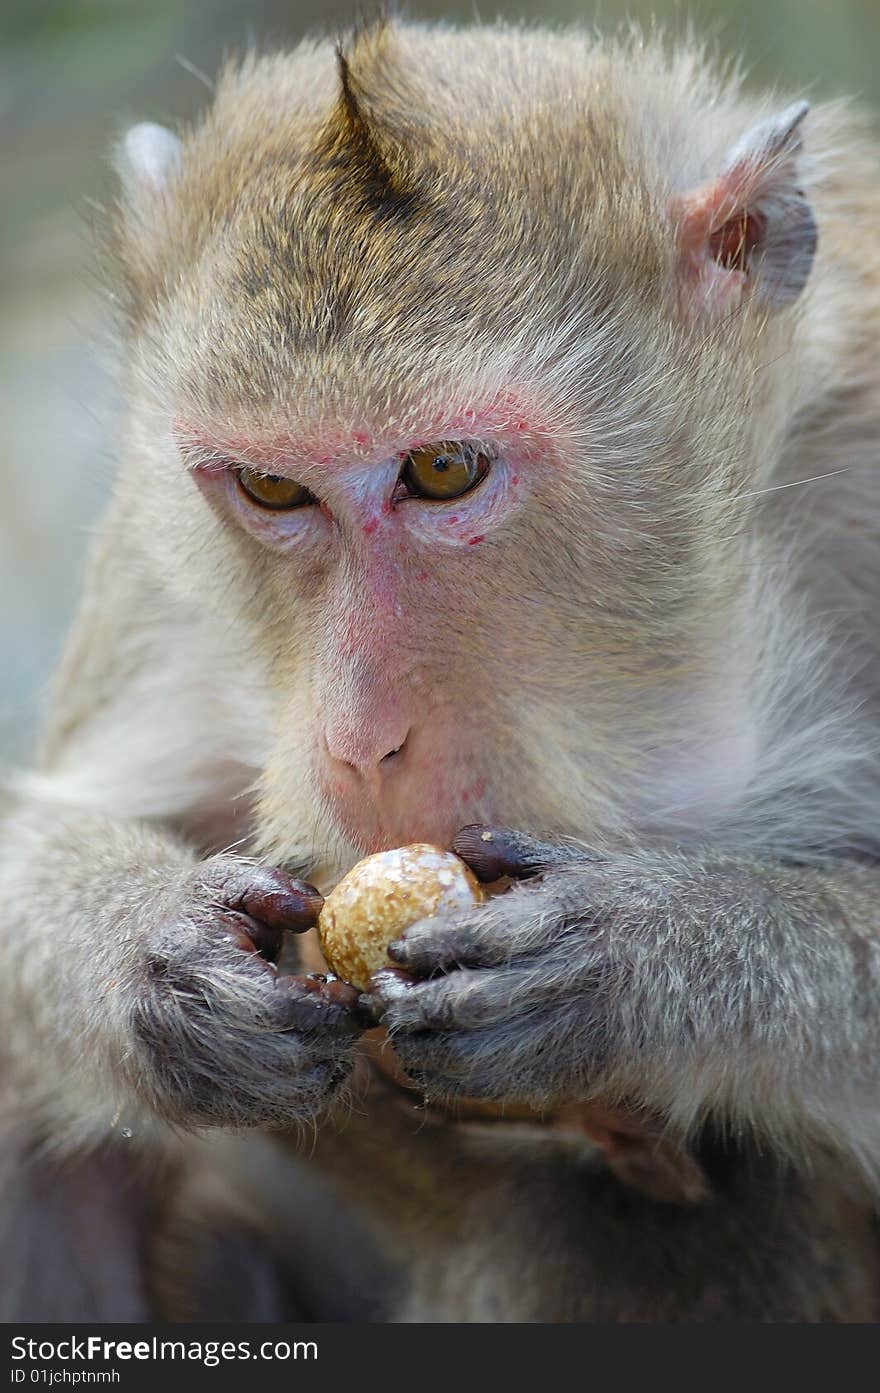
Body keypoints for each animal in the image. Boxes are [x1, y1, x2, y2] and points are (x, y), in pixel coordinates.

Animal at [1, 13, 880, 1314]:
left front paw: (643, 961)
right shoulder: (151, 560)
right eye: (271, 487)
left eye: (445, 470)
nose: (359, 744)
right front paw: (157, 957)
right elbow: (47, 821)